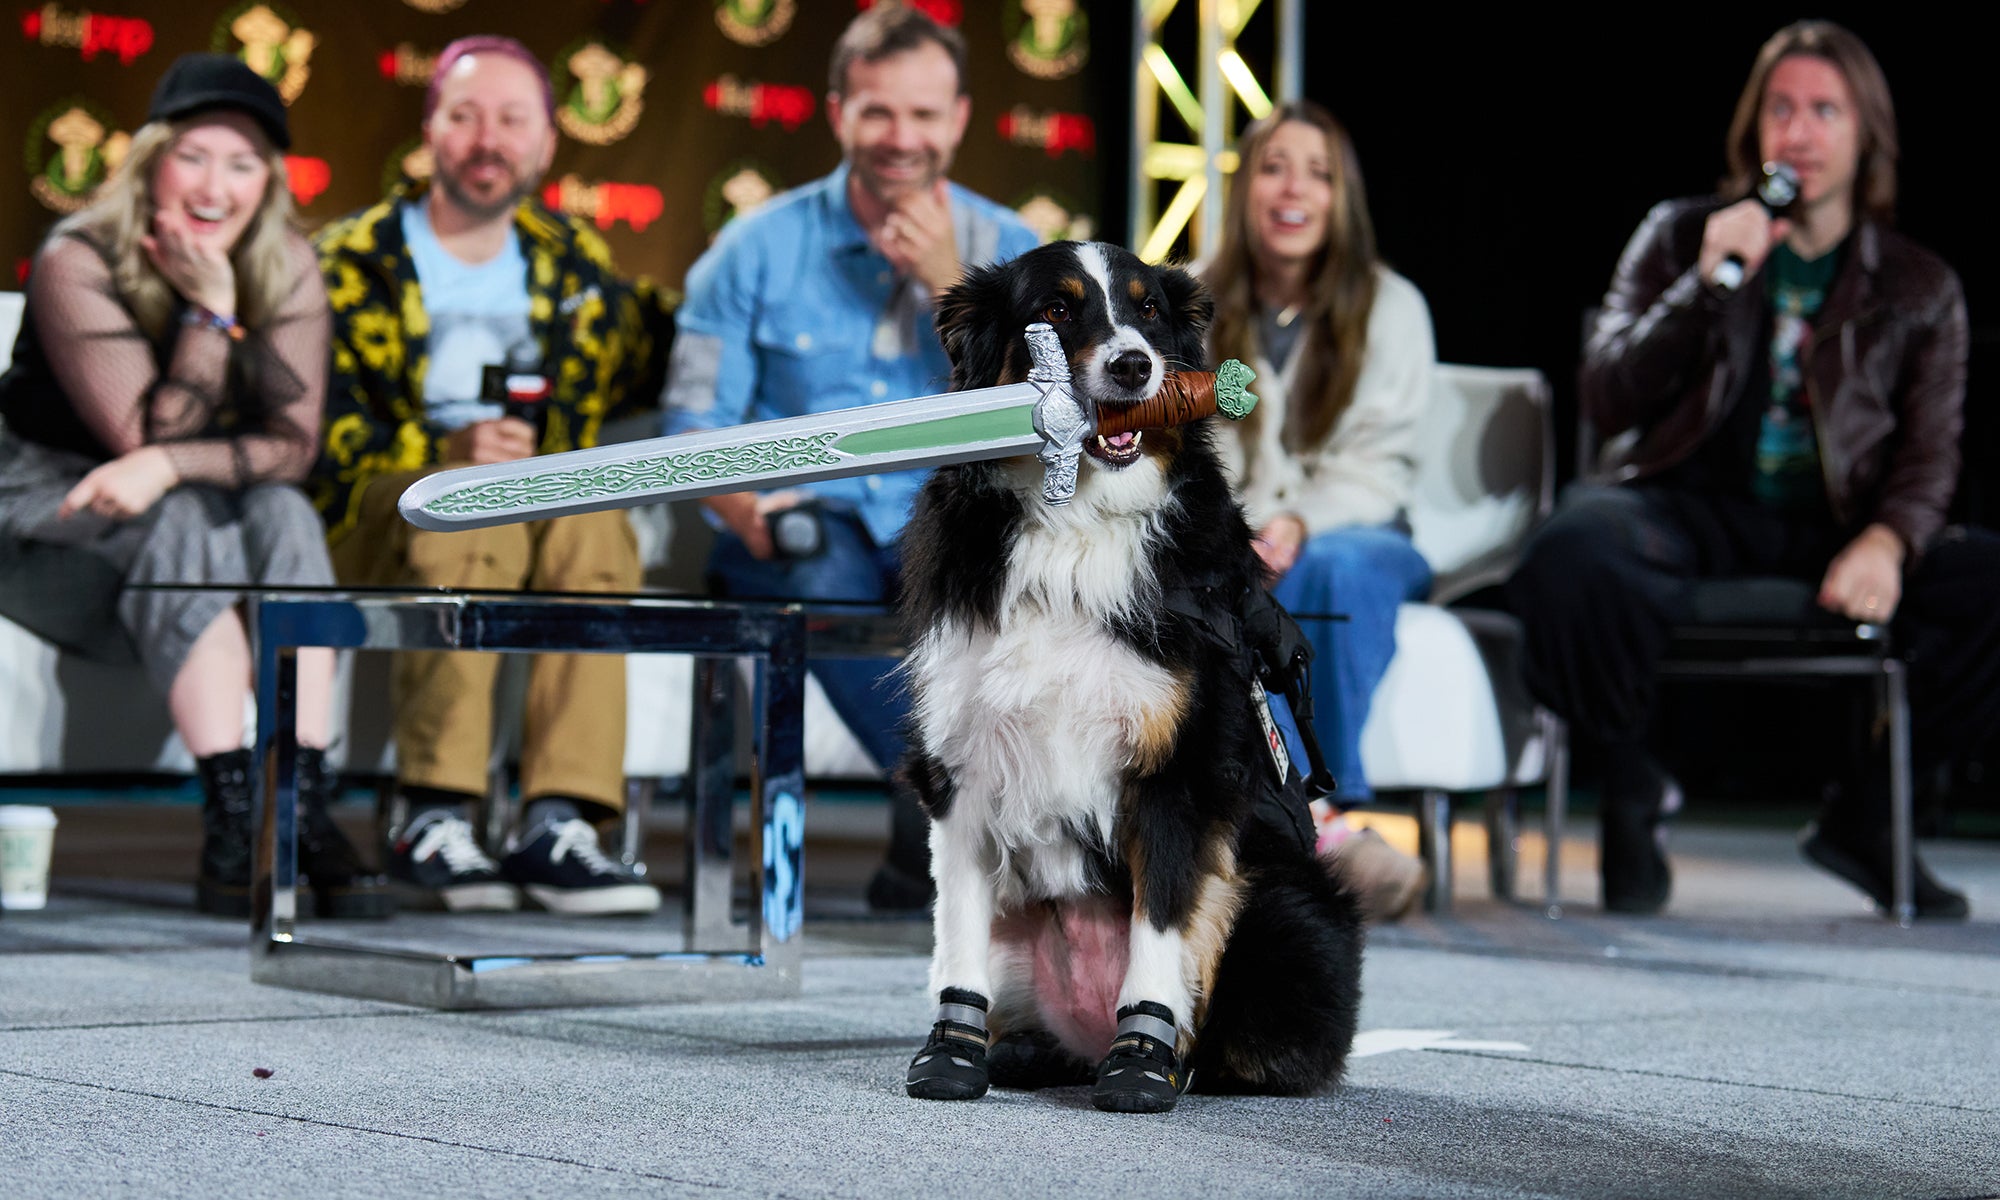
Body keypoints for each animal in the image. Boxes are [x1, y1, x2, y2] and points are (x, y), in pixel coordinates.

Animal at [900, 244, 1368, 1112]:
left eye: (1149, 312)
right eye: (1054, 310)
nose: (1132, 366)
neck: (1077, 526)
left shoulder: (1178, 771)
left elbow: (1161, 926)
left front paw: (1143, 1061)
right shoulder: (960, 761)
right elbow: (958, 931)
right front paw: (953, 1048)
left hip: (1290, 916)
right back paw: (1020, 1049)